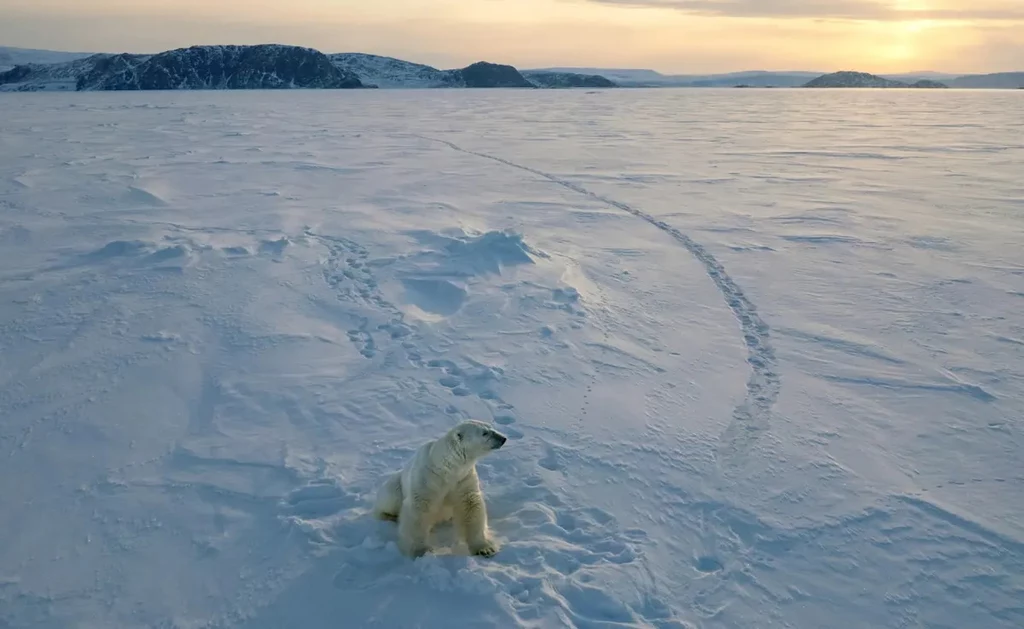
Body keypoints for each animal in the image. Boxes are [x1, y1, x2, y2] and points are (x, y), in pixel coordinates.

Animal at [372, 422, 507, 561]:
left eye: (490, 427)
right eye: (484, 433)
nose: (503, 438)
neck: (446, 467)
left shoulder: (463, 477)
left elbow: (470, 505)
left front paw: (485, 549)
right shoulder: (427, 478)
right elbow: (419, 510)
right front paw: (420, 551)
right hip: (395, 484)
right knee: (390, 498)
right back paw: (390, 516)